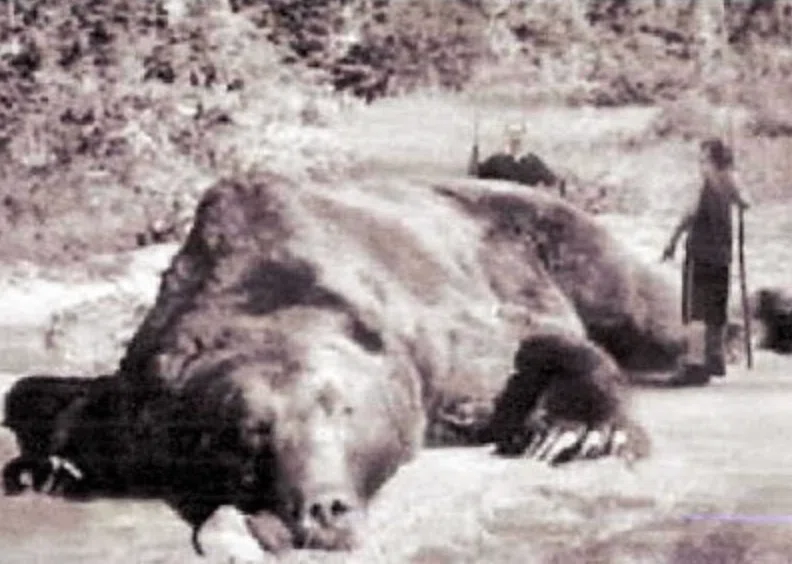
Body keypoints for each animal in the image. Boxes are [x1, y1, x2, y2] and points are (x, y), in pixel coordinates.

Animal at [3, 173, 685, 555]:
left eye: (345, 412)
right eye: (247, 435)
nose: (322, 509)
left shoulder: (441, 333)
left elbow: (537, 344)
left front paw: (572, 432)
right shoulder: (147, 368)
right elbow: (51, 396)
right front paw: (49, 465)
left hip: (539, 231)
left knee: (647, 310)